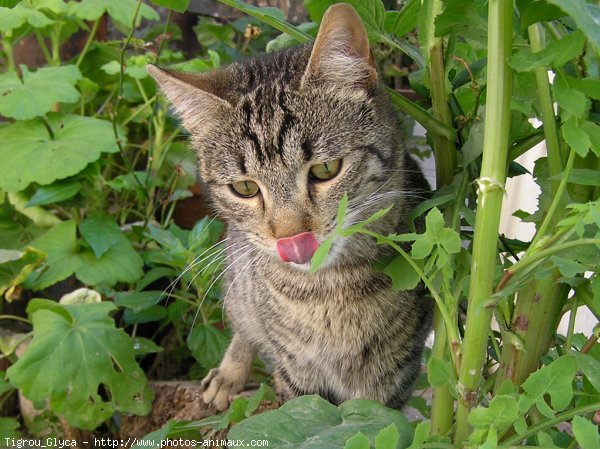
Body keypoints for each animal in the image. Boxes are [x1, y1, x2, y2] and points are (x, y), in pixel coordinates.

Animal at [148, 1, 434, 412]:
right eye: (245, 188)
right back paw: (229, 373)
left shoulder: (394, 374)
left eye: (326, 170)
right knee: (242, 323)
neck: (330, 291)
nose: (291, 238)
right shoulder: (296, 371)